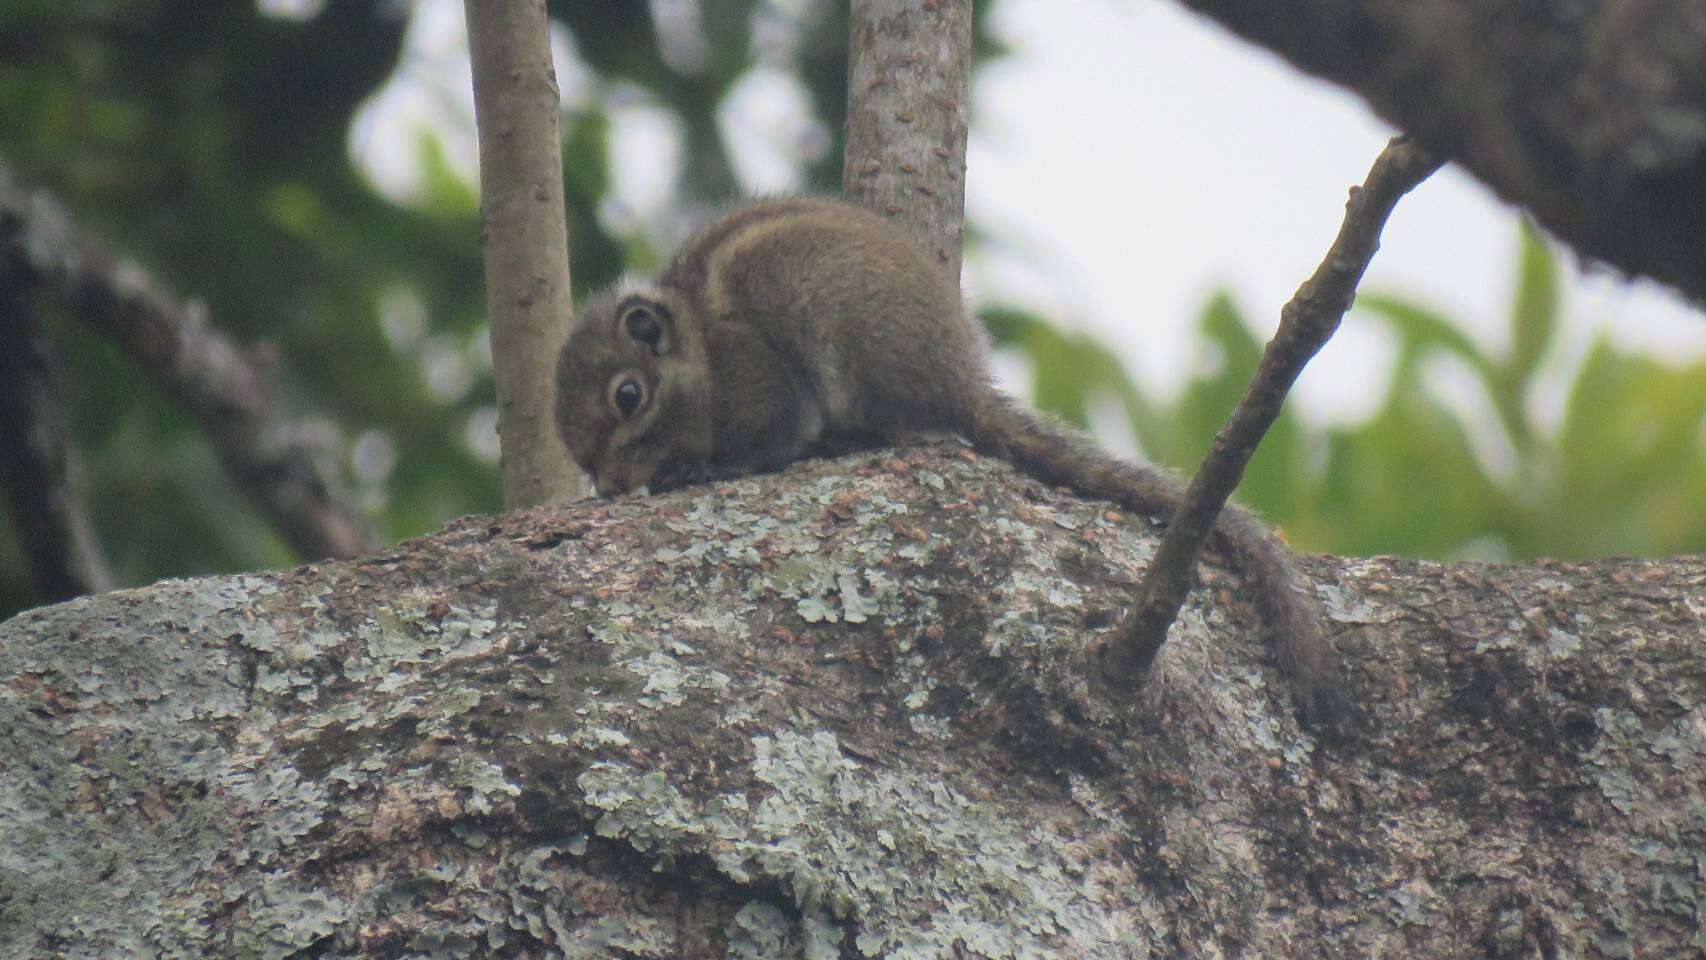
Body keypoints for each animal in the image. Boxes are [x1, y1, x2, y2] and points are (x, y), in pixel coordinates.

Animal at [556, 193, 1344, 722]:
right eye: (583, 460)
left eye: (627, 396)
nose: (613, 483)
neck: (698, 350)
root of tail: (961, 383)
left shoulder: (758, 378)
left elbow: (777, 437)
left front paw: (704, 469)